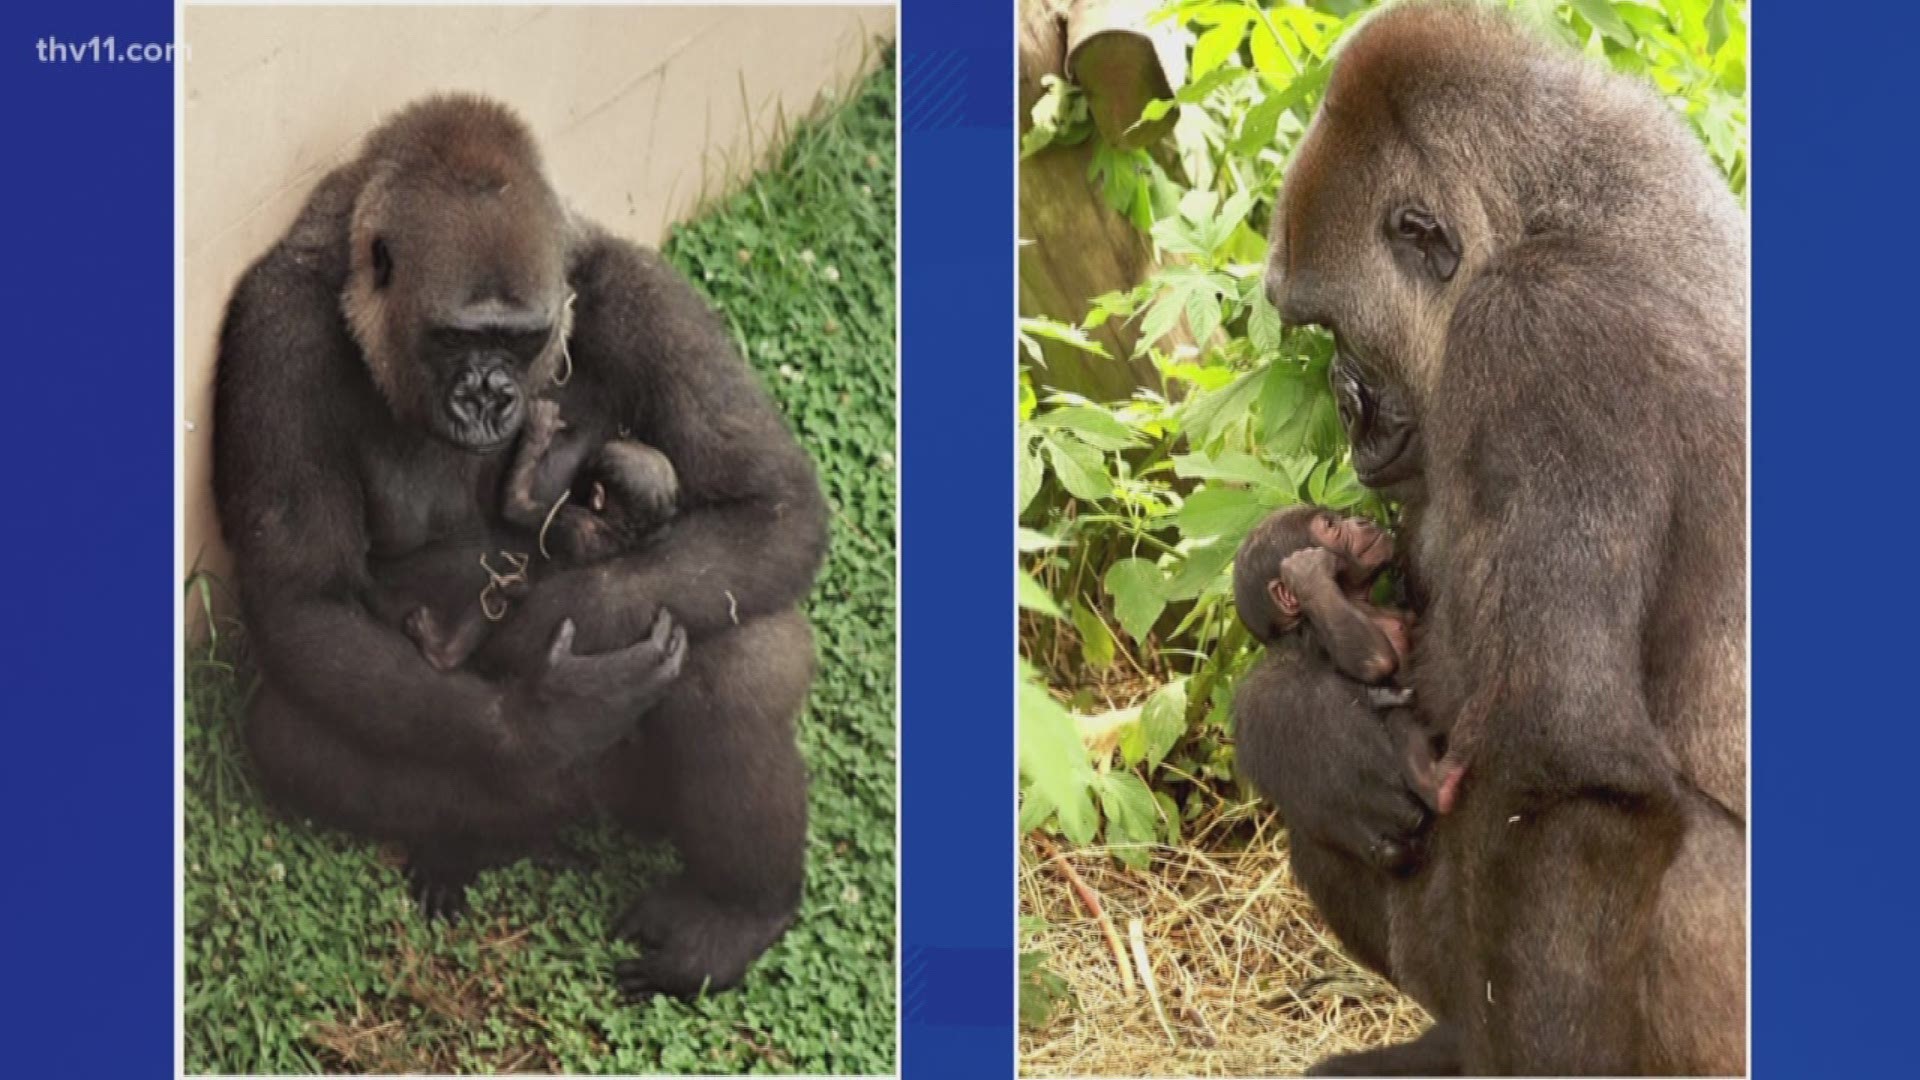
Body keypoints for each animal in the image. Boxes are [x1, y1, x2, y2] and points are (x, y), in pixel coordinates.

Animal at [370, 395, 679, 668]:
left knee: (497, 598)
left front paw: (539, 431)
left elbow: (514, 506)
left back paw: (441, 650)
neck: (619, 528)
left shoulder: (569, 521)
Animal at [1244, 4, 1758, 1068]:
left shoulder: (1542, 335)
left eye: (1334, 329)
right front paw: (1303, 728)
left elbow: (1566, 786)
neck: (1548, 213)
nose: (1343, 406)